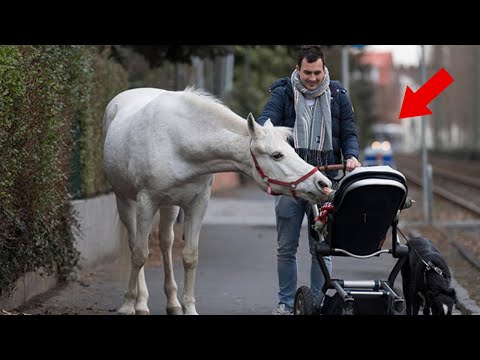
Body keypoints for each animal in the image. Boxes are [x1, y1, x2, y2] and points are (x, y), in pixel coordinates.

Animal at [103, 87, 332, 316]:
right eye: (277, 155)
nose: (322, 183)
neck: (178, 141)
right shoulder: (146, 202)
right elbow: (139, 254)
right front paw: (127, 305)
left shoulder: (198, 204)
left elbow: (190, 256)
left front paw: (189, 308)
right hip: (125, 201)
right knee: (135, 244)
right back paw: (140, 302)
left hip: (170, 206)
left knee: (166, 243)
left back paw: (172, 303)